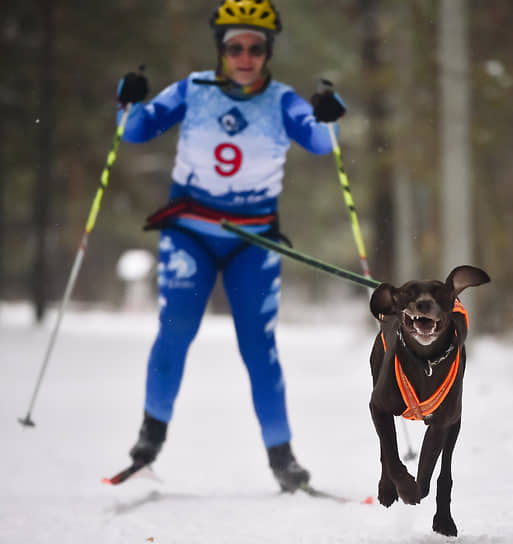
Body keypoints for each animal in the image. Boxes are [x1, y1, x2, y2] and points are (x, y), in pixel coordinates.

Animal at [368, 264, 488, 536]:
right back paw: (386, 489)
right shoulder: (378, 406)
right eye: (407, 293)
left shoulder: (441, 422)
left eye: (440, 292)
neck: (426, 361)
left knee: (444, 473)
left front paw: (415, 490)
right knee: (384, 449)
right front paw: (402, 487)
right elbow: (390, 452)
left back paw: (444, 520)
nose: (423, 303)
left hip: (455, 423)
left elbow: (427, 465)